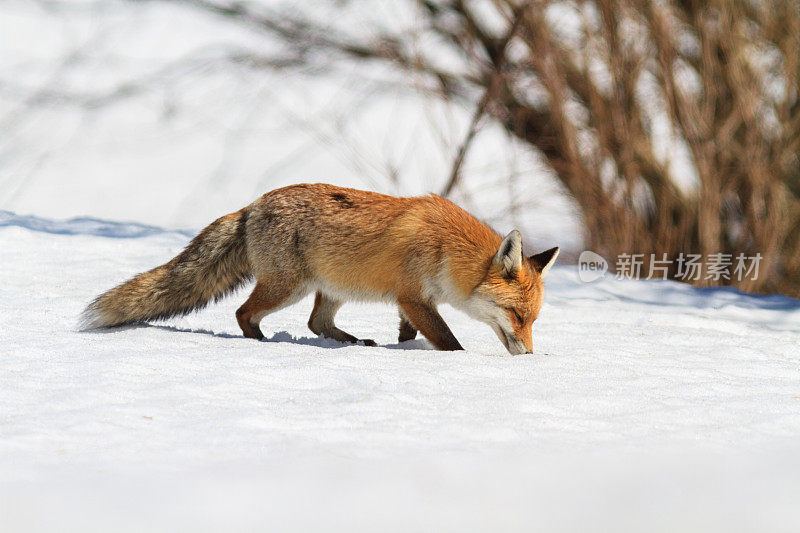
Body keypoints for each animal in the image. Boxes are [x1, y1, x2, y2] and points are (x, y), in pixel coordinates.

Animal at [79, 183, 556, 354]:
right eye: (516, 316)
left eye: (533, 320)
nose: (529, 356)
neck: (446, 249)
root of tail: (252, 205)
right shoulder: (413, 296)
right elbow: (448, 341)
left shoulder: (413, 303)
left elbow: (411, 333)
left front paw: (403, 348)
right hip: (286, 287)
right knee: (243, 313)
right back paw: (263, 343)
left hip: (333, 289)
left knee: (316, 323)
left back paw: (355, 343)